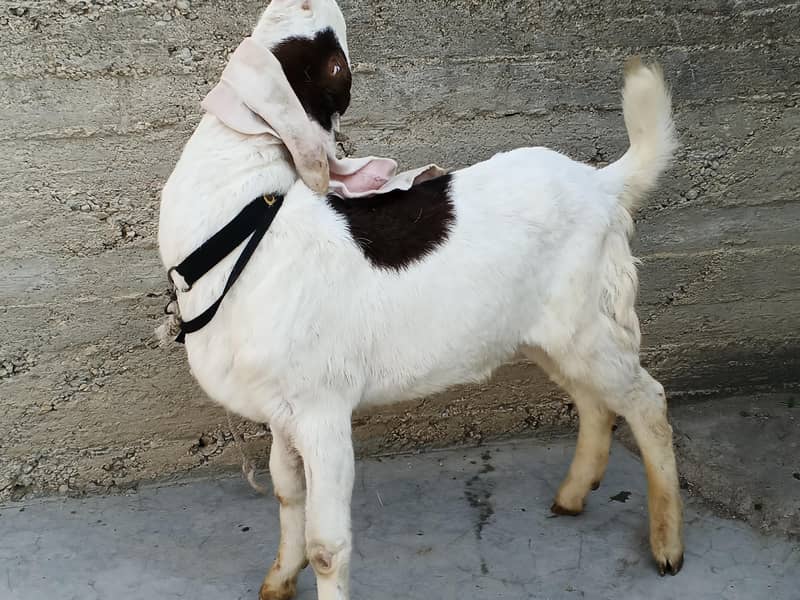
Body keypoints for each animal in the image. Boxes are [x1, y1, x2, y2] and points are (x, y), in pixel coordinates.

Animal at [158, 1, 684, 598]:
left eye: (331, 63)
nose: (316, 2)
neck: (245, 229)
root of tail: (603, 184)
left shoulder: (321, 410)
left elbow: (326, 545)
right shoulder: (281, 412)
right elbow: (287, 494)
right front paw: (277, 582)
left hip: (591, 324)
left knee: (646, 401)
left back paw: (667, 545)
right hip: (552, 335)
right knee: (595, 402)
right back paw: (573, 495)